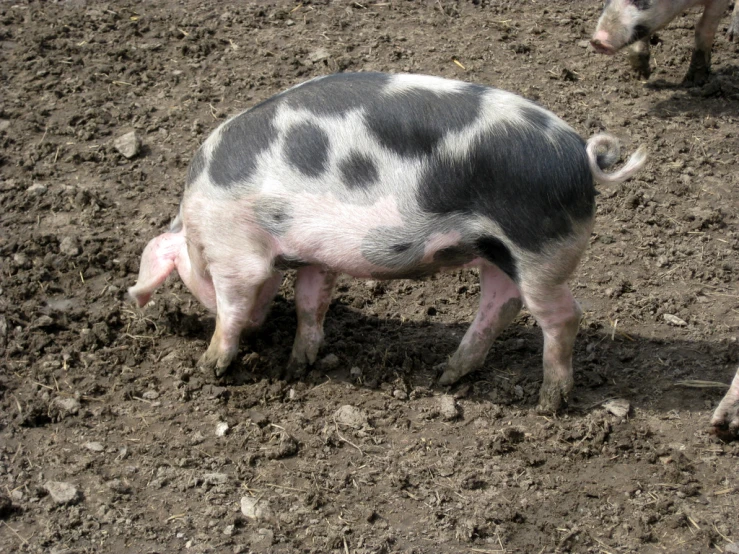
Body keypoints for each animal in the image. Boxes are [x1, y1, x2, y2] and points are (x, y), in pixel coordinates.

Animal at [125, 72, 648, 414]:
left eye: (190, 277)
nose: (262, 332)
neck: (195, 225)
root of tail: (581, 154)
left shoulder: (235, 253)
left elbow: (233, 309)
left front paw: (208, 366)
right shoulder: (314, 256)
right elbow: (310, 303)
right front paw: (298, 367)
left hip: (538, 247)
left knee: (563, 315)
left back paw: (548, 405)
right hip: (495, 252)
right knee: (501, 304)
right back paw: (446, 375)